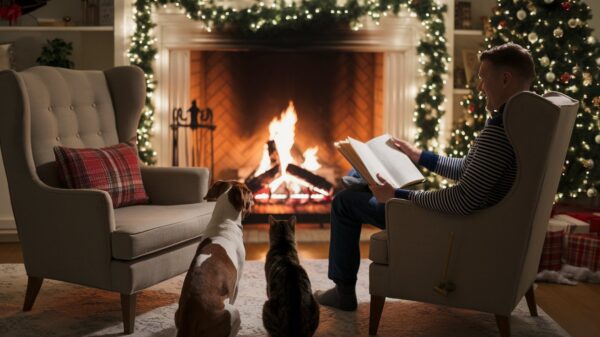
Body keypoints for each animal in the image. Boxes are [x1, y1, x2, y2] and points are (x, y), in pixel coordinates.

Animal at [175, 180, 252, 336]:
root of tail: (191, 312)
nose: (253, 195)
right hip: (233, 313)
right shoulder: (236, 284)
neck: (224, 222)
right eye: (248, 191)